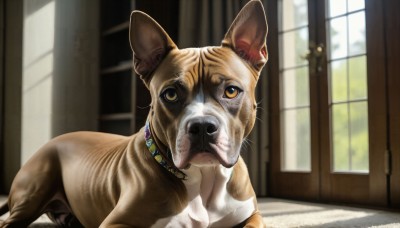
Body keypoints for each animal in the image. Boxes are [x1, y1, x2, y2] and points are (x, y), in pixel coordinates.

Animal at [1, 0, 268, 227]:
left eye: (231, 91)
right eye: (170, 94)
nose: (202, 126)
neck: (204, 177)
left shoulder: (253, 214)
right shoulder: (116, 222)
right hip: (33, 191)